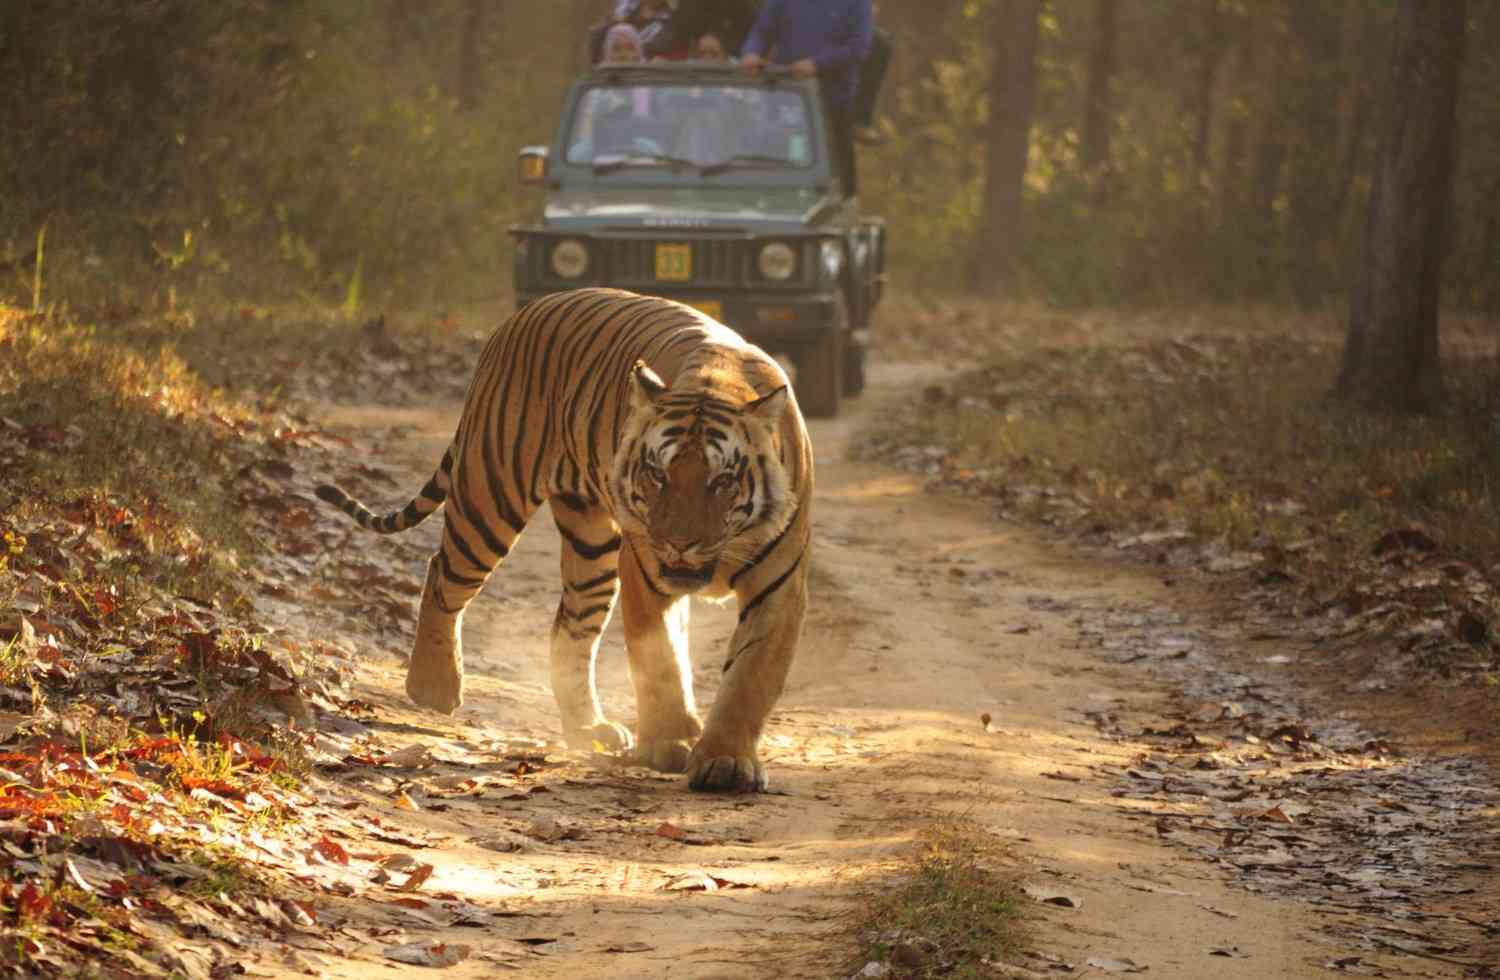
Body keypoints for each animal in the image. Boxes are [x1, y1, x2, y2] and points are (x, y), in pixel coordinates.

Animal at [310, 286, 816, 792]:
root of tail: (521, 314)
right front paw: (669, 743)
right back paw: (434, 686)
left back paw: (588, 728)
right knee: (442, 575)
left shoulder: (778, 587)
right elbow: (660, 662)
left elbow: (749, 677)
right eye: (658, 474)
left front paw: (725, 761)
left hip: (590, 546)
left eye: (722, 481)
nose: (678, 543)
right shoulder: (645, 572)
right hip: (490, 495)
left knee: (569, 628)